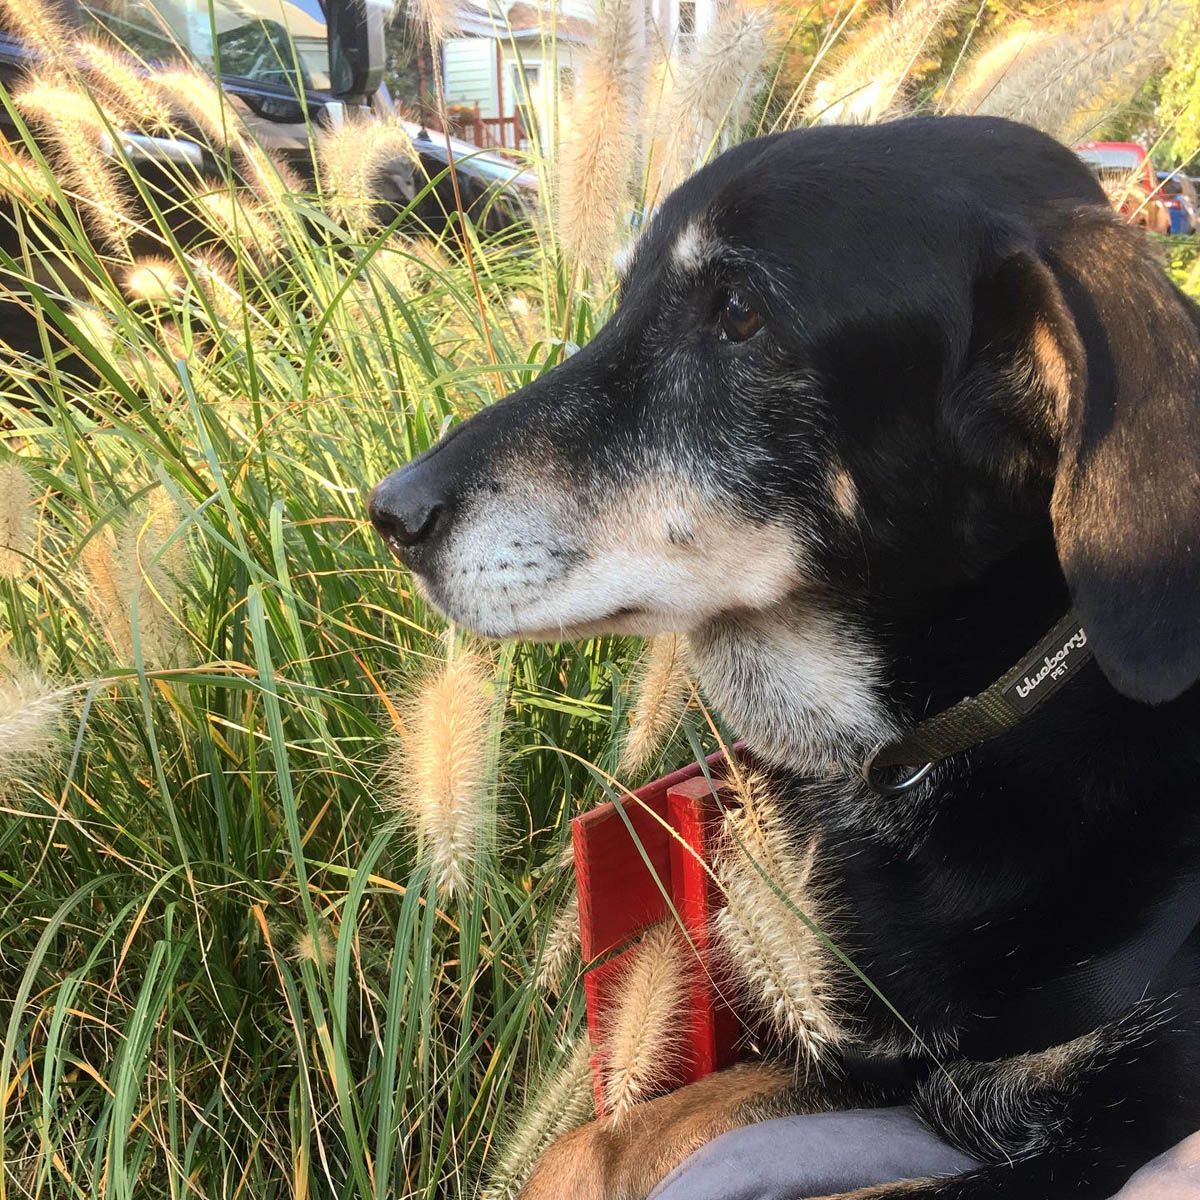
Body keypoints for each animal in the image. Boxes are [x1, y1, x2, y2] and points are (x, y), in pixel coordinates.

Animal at [364, 114, 1200, 1200]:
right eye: (625, 298)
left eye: (740, 315)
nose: (390, 512)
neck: (932, 751)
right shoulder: (860, 1058)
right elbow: (597, 1141)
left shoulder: (1100, 1132)